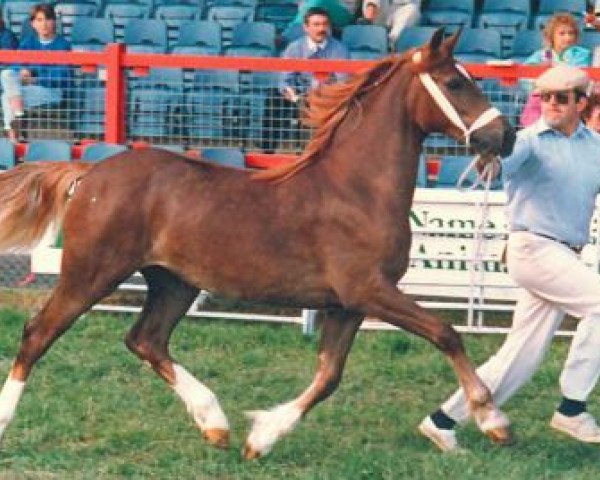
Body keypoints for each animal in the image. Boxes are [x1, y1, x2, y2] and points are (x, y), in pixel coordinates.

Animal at [0, 30, 516, 458]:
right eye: (454, 83)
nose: (505, 136)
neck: (357, 190)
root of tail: (88, 173)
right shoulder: (369, 291)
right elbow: (445, 333)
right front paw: (493, 420)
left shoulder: (348, 304)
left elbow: (328, 376)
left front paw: (260, 438)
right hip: (91, 273)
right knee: (38, 334)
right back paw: (7, 423)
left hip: (174, 282)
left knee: (145, 339)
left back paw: (215, 424)